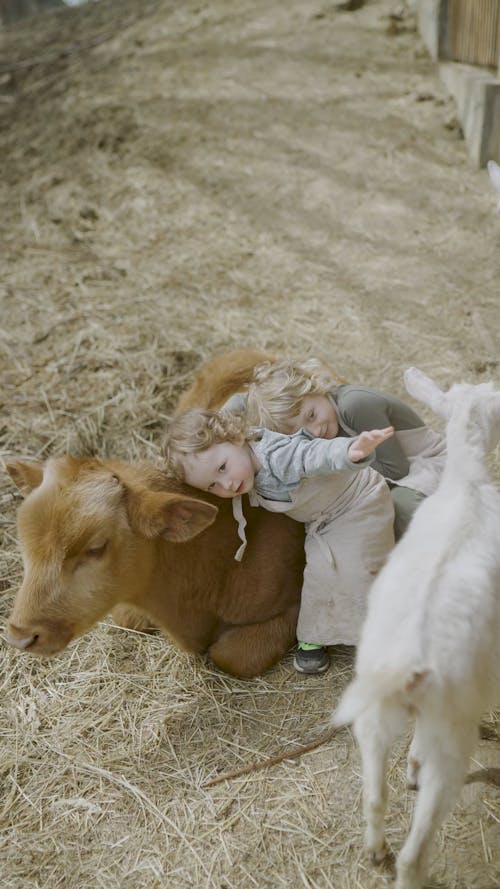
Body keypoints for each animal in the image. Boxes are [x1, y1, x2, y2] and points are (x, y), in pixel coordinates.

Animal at [332, 366, 500, 888]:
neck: (468, 485)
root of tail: (405, 670)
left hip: (372, 718)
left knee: (374, 795)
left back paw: (376, 848)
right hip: (451, 737)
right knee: (417, 848)